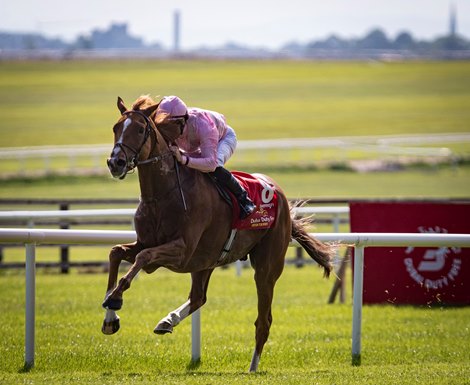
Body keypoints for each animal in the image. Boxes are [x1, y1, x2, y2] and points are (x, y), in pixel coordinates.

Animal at [104, 94, 336, 370]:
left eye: (140, 129)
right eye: (116, 127)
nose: (115, 162)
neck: (163, 195)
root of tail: (278, 193)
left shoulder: (181, 251)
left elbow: (142, 258)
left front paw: (115, 300)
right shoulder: (148, 242)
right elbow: (116, 252)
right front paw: (110, 316)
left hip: (266, 268)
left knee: (263, 320)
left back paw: (252, 367)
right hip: (205, 261)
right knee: (198, 297)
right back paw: (167, 321)